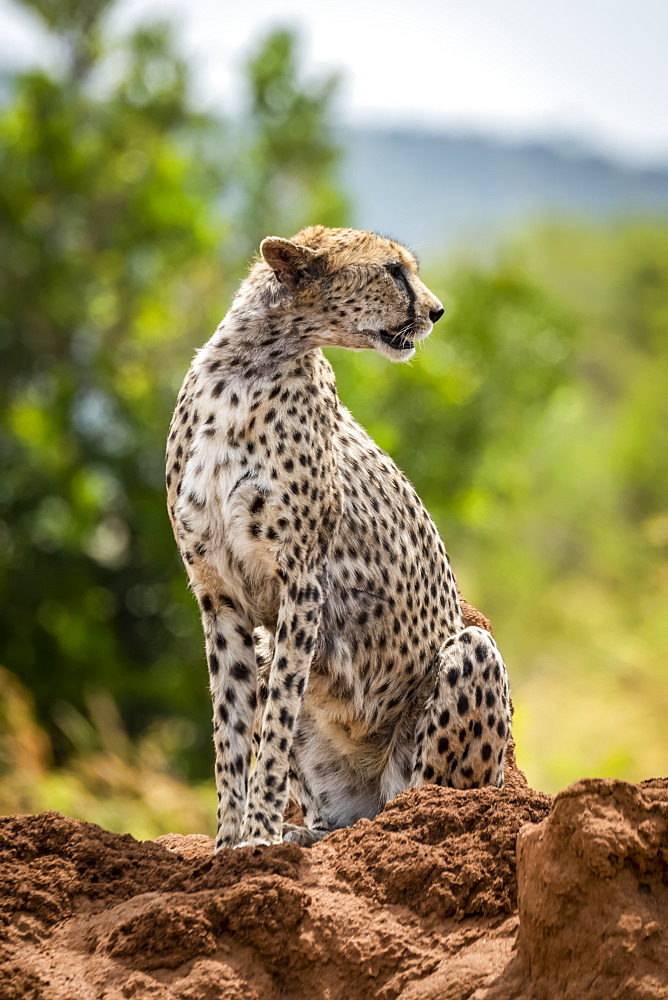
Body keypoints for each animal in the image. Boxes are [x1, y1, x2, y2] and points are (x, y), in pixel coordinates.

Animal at [167, 223, 512, 848]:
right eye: (392, 270)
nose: (436, 310)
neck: (249, 363)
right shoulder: (217, 593)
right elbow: (231, 728)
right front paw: (228, 843)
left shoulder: (302, 583)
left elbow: (275, 720)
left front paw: (257, 835)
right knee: (337, 818)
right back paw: (308, 833)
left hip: (468, 663)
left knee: (421, 799)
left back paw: (402, 821)